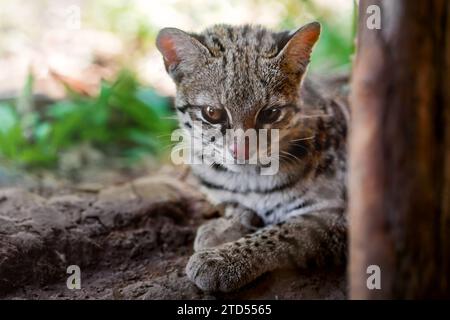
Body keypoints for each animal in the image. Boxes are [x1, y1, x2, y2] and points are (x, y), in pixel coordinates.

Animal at [156, 22, 350, 292]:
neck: (247, 178)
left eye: (271, 113)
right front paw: (227, 225)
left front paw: (223, 259)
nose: (241, 151)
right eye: (212, 113)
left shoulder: (343, 216)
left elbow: (284, 232)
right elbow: (236, 205)